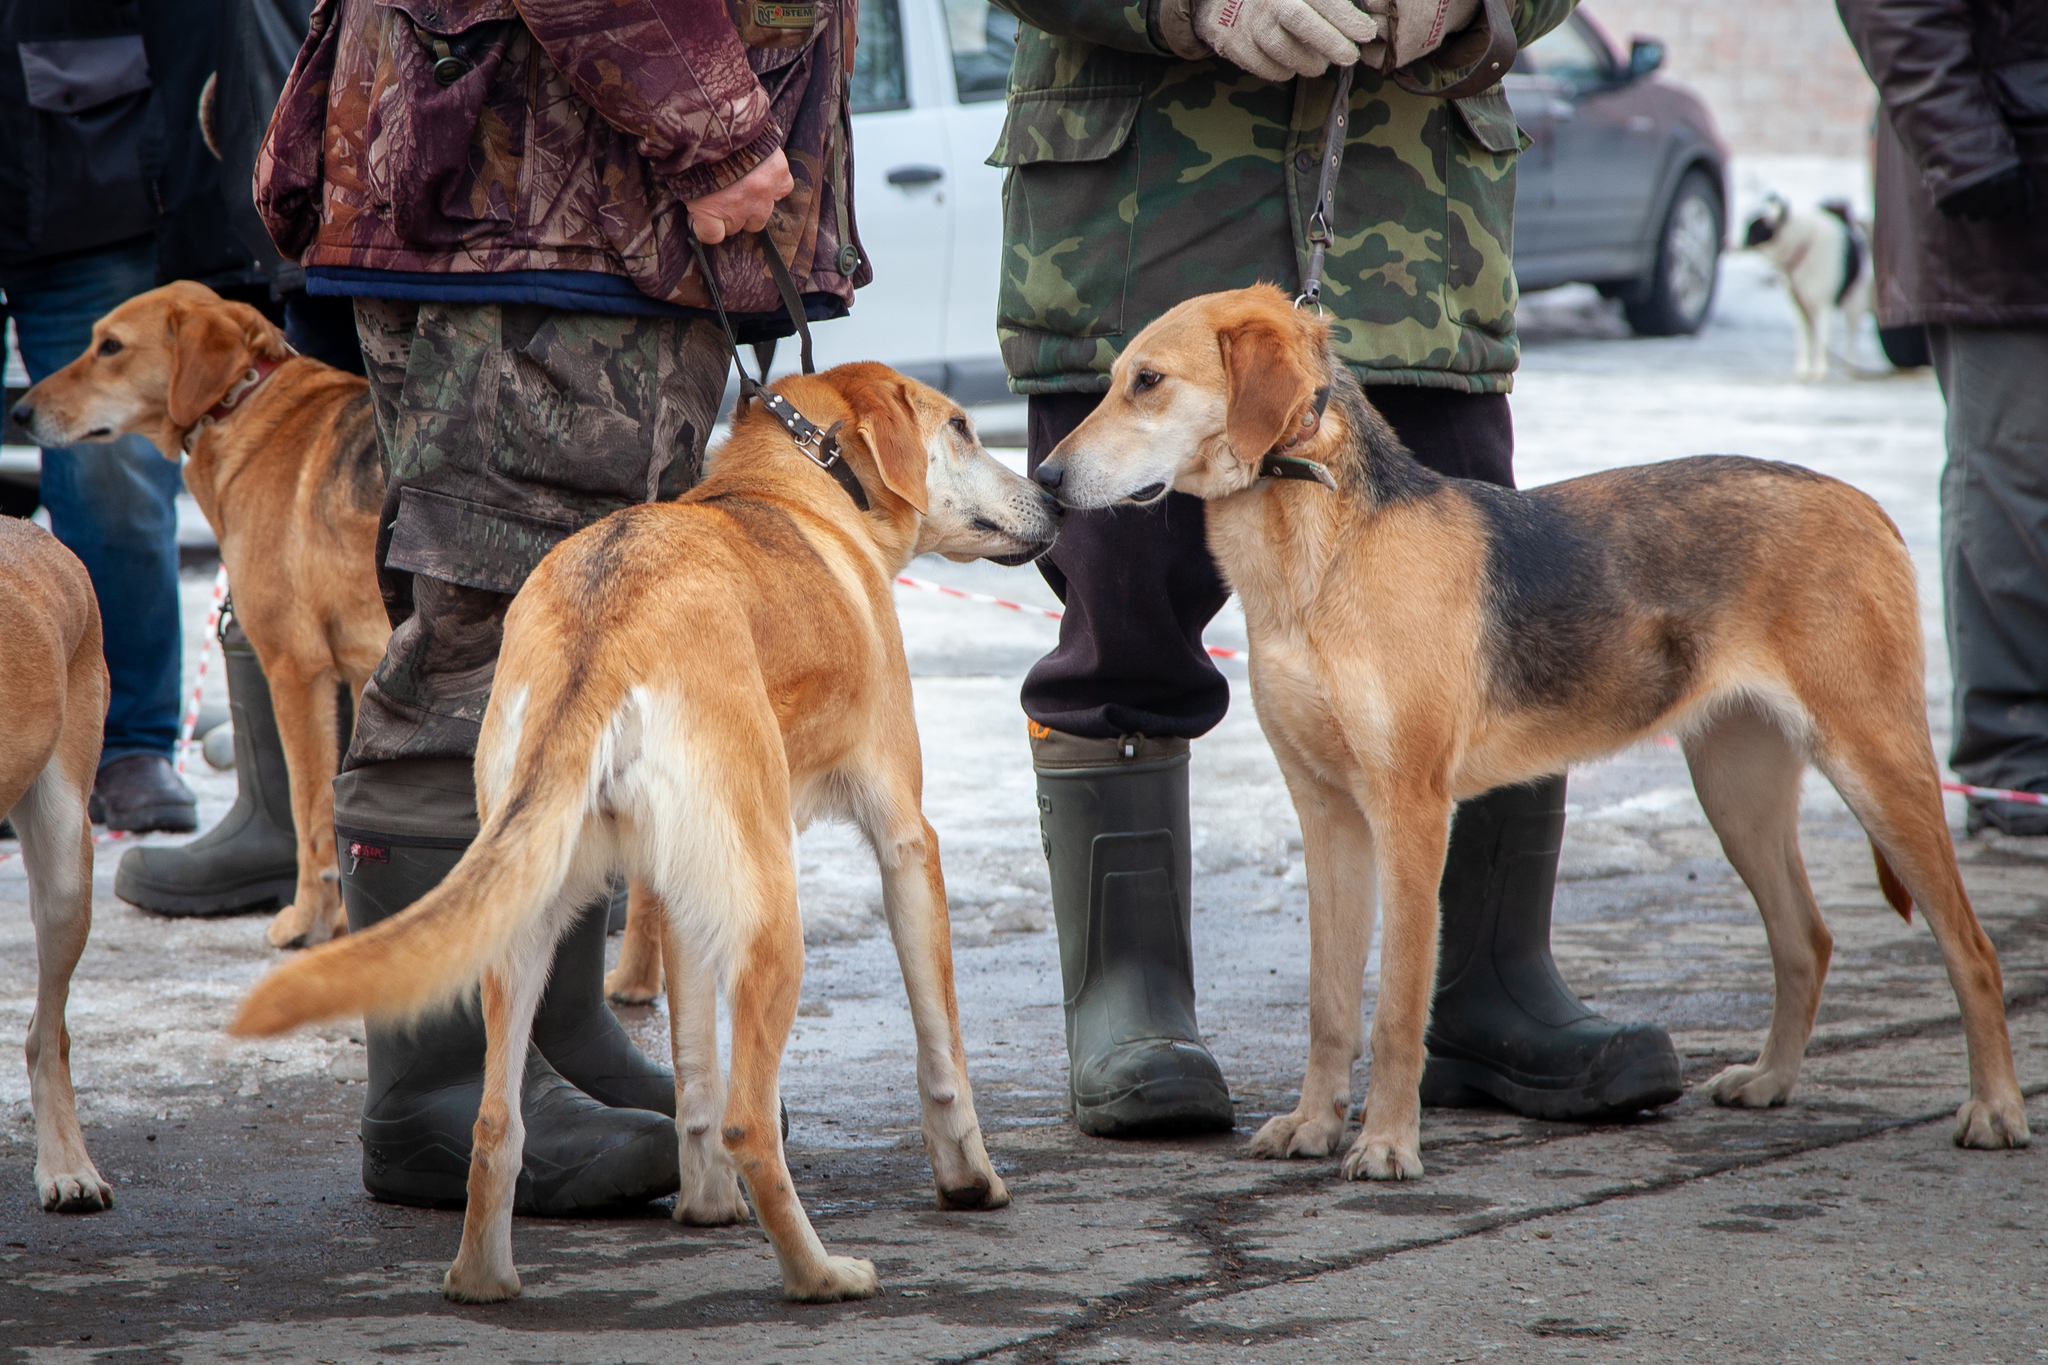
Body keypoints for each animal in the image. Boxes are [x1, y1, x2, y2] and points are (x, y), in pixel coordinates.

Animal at [18, 286, 385, 949]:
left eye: (110, 346)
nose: (19, 413)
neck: (242, 399)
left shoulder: (297, 669)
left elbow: (311, 813)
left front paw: (304, 920)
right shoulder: (361, 671)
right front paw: (345, 924)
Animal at [1744, 194, 1875, 382]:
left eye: (1753, 229)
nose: (1733, 240)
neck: (1802, 247)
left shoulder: (1824, 304)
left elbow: (1823, 342)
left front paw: (1821, 371)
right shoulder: (1800, 306)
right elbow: (1805, 341)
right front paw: (1804, 369)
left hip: (1854, 303)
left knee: (1850, 336)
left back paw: (1850, 366)